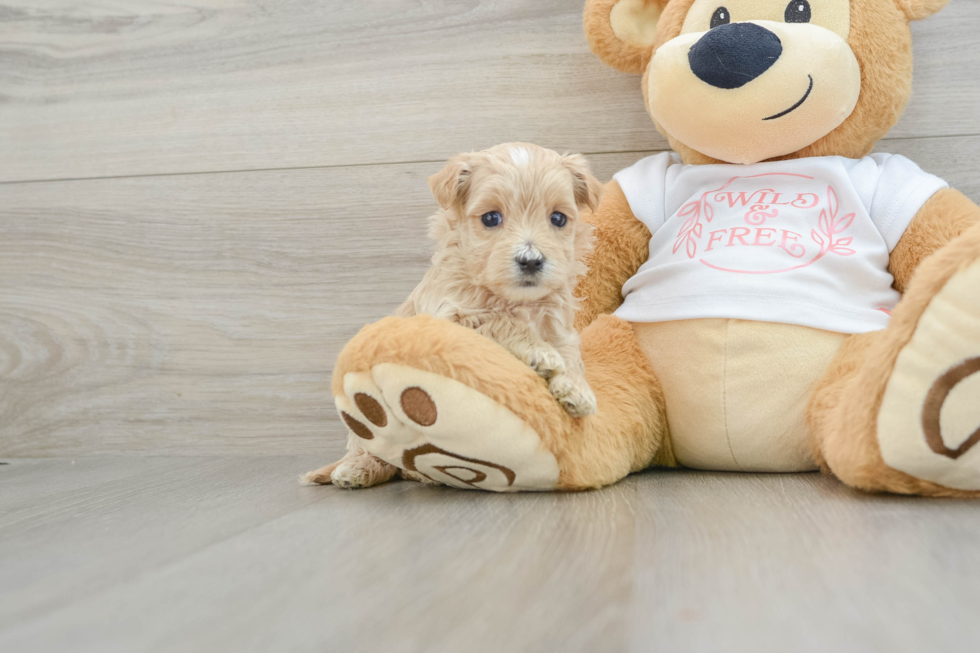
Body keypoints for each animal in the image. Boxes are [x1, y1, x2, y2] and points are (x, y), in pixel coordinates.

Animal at [306, 144, 600, 488]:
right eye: (490, 218)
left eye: (558, 218)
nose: (531, 260)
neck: (516, 301)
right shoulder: (450, 319)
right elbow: (498, 321)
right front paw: (540, 352)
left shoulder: (559, 327)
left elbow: (570, 356)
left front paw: (577, 390)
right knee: (375, 451)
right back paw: (356, 470)